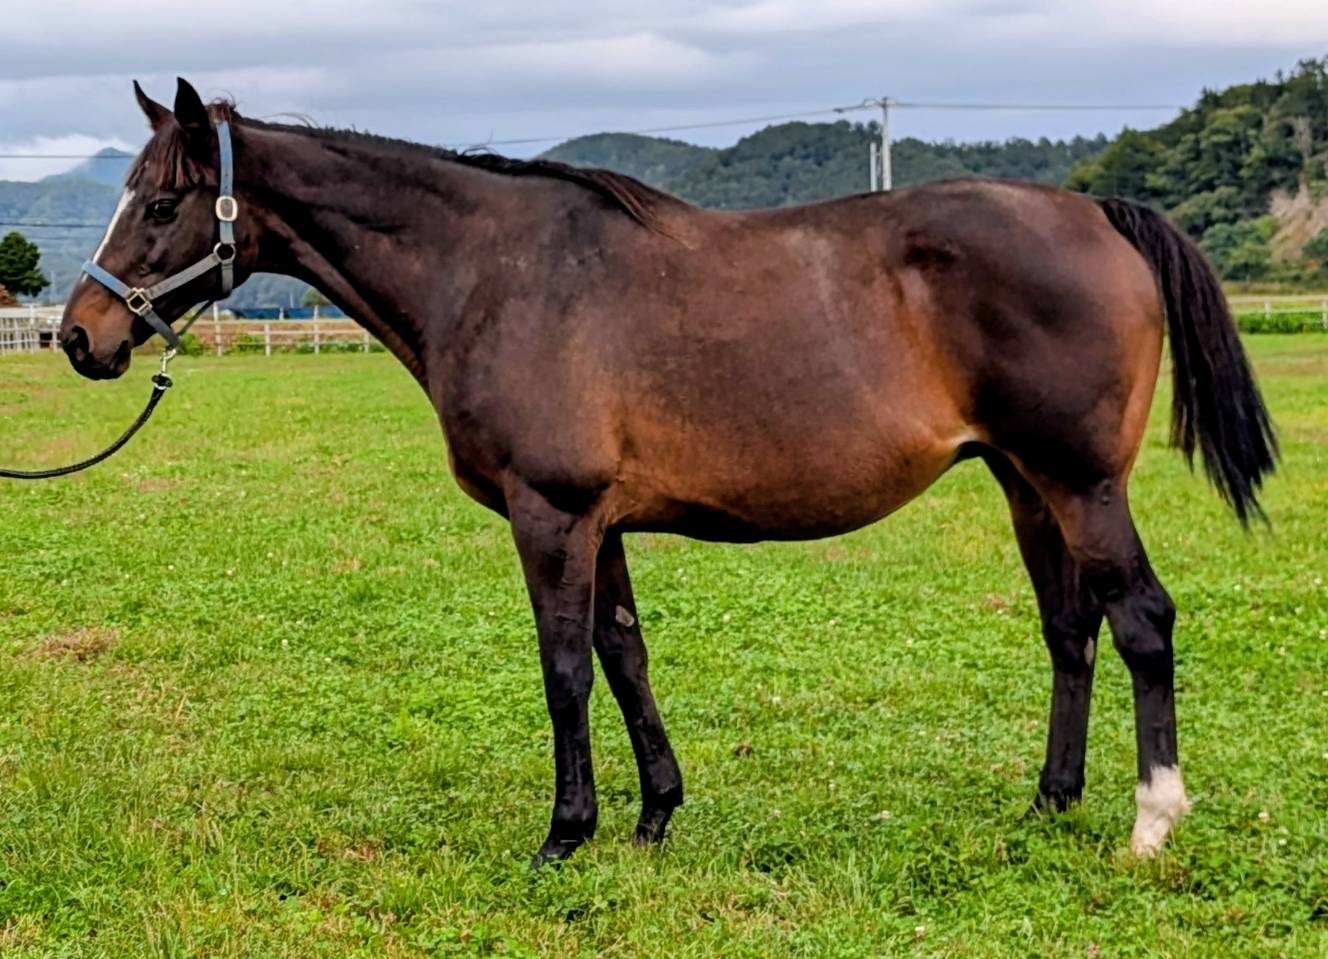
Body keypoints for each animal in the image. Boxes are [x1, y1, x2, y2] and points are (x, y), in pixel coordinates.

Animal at [59, 78, 1276, 865]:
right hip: (1024, 483)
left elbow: (563, 670)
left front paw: (563, 835)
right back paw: (1047, 804)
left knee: (1141, 620)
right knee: (1070, 631)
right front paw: (652, 816)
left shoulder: (549, 515)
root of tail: (1092, 211)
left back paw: (1150, 823)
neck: (497, 271)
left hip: (1082, 483)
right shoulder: (601, 524)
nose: (80, 336)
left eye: (160, 202)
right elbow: (624, 657)